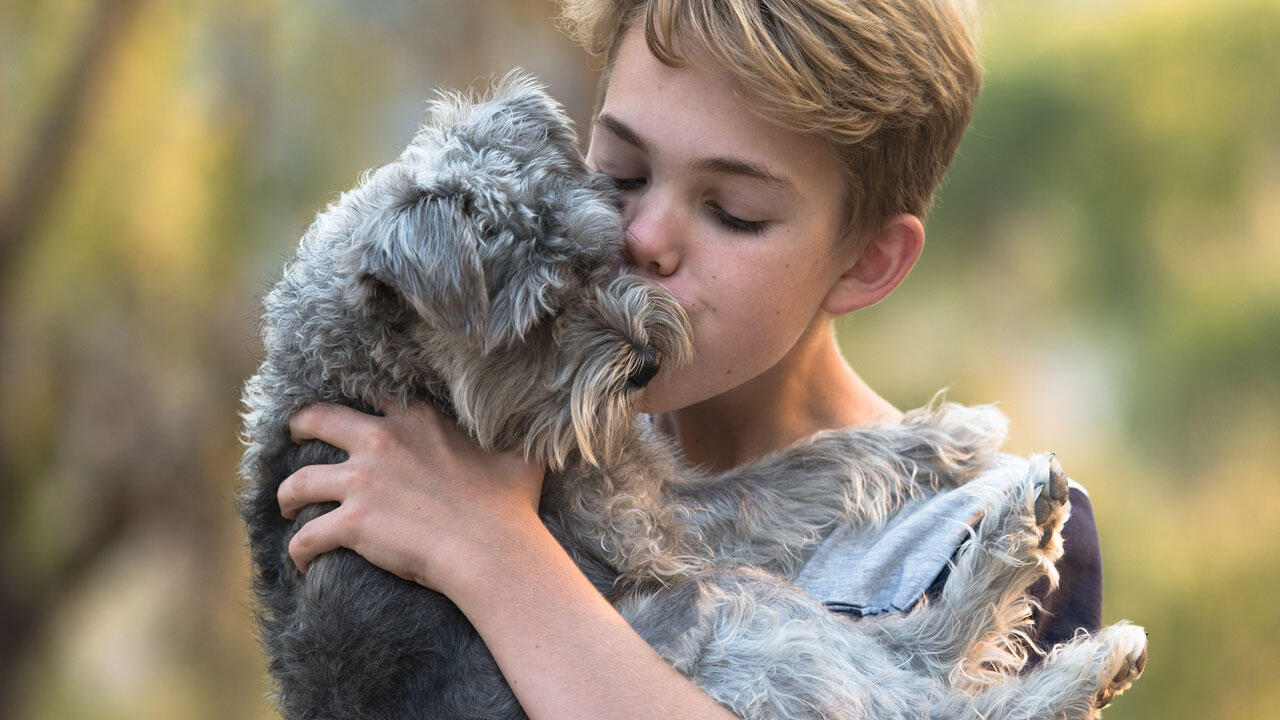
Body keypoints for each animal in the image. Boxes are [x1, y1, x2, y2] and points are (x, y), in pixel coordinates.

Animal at [235, 74, 1146, 717]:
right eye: (539, 321)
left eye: (604, 253)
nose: (643, 365)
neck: (382, 372)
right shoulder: (653, 521)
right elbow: (803, 469)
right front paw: (941, 434)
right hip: (727, 607)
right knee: (927, 692)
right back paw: (1057, 603)